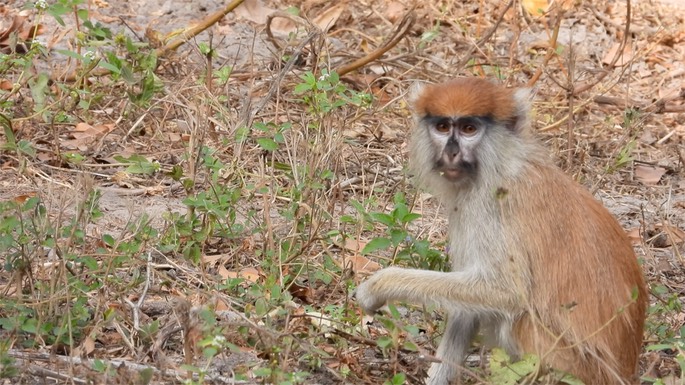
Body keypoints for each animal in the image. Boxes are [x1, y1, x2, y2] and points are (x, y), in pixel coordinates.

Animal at [356, 78, 648, 384]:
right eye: (443, 127)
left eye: (469, 129)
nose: (451, 152)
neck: (502, 165)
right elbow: (467, 309)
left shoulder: (491, 208)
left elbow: (504, 291)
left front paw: (378, 286)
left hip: (568, 364)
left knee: (519, 319)